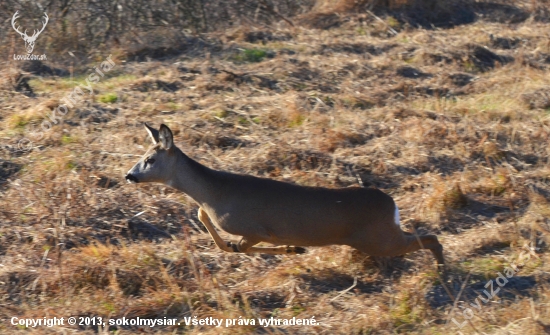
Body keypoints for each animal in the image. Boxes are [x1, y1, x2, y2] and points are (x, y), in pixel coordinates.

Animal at [124, 124, 444, 270]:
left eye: (150, 159)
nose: (129, 175)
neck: (213, 192)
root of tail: (391, 204)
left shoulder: (255, 228)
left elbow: (239, 247)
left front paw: (294, 248)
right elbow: (222, 238)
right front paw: (294, 249)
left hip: (377, 239)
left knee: (430, 238)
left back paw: (441, 272)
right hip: (382, 235)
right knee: (426, 237)